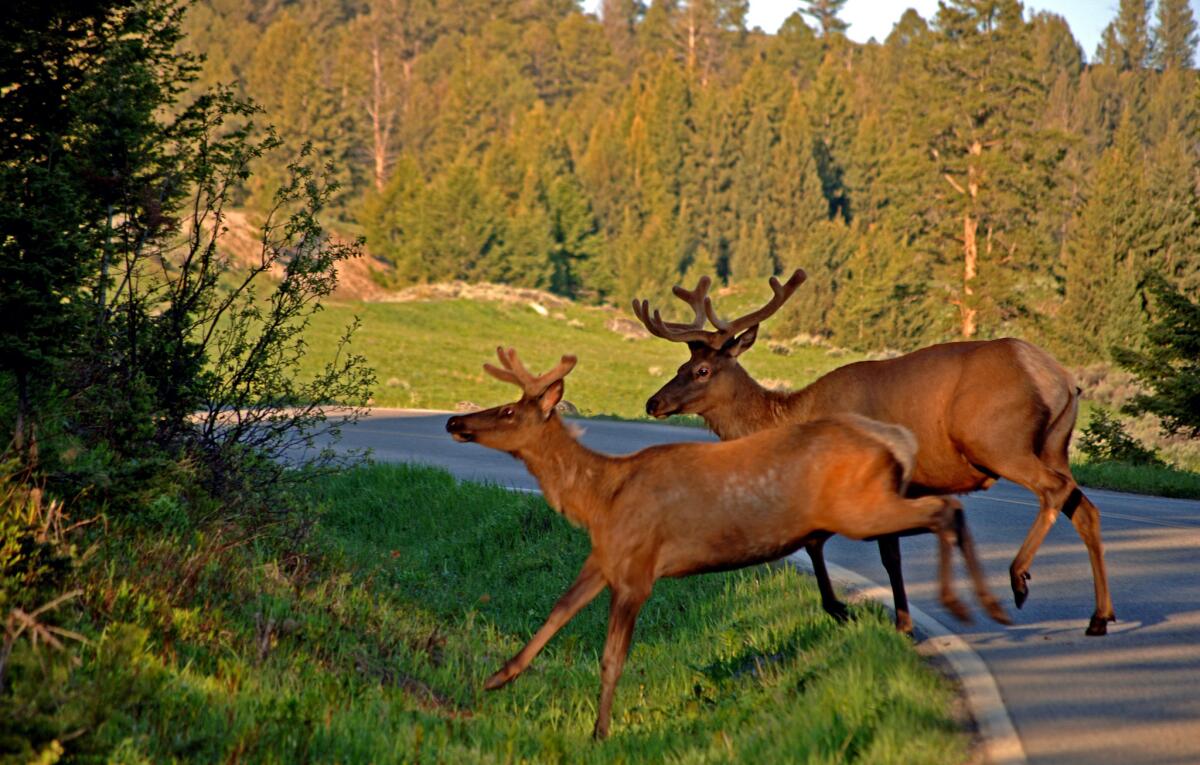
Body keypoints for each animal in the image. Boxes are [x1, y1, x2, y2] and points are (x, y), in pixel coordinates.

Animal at [446, 350, 1008, 738]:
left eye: (508, 411)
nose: (454, 420)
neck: (600, 497)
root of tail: (896, 440)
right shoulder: (604, 557)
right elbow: (557, 611)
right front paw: (497, 678)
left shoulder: (639, 569)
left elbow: (611, 657)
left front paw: (600, 733)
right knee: (947, 511)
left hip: (860, 506)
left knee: (943, 510)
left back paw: (976, 603)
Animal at [638, 268, 1113, 633]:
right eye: (681, 365)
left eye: (702, 370)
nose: (652, 402)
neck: (794, 415)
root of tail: (1057, 376)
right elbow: (879, 552)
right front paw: (892, 619)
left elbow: (839, 547)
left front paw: (862, 614)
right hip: (1055, 444)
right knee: (1084, 507)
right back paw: (1099, 616)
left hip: (998, 441)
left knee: (1054, 492)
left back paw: (1018, 579)